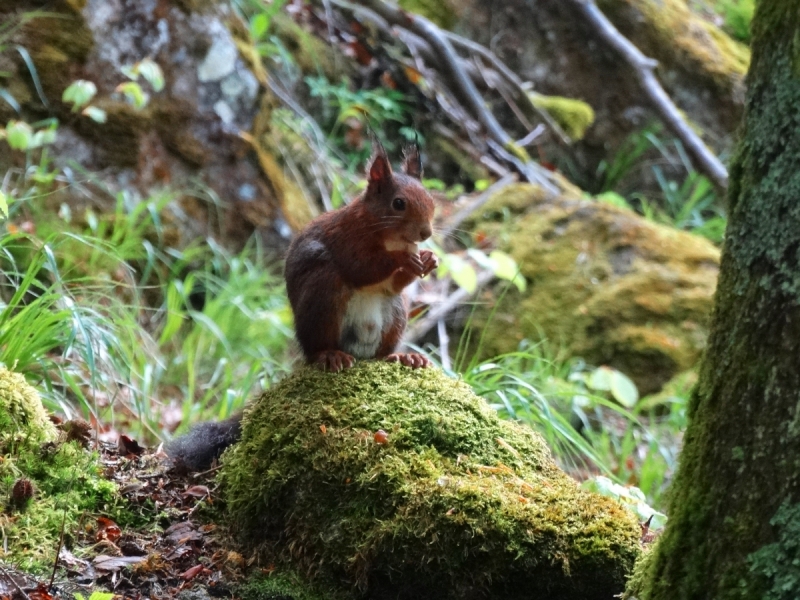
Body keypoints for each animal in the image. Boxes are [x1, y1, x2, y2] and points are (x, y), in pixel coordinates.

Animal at [284, 145, 438, 370]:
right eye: (398, 203)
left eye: (431, 200)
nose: (426, 233)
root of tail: (358, 350)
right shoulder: (346, 240)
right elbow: (360, 269)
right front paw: (403, 258)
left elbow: (394, 284)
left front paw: (429, 259)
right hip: (323, 294)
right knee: (316, 349)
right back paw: (330, 355)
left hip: (396, 313)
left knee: (382, 353)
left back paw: (404, 357)